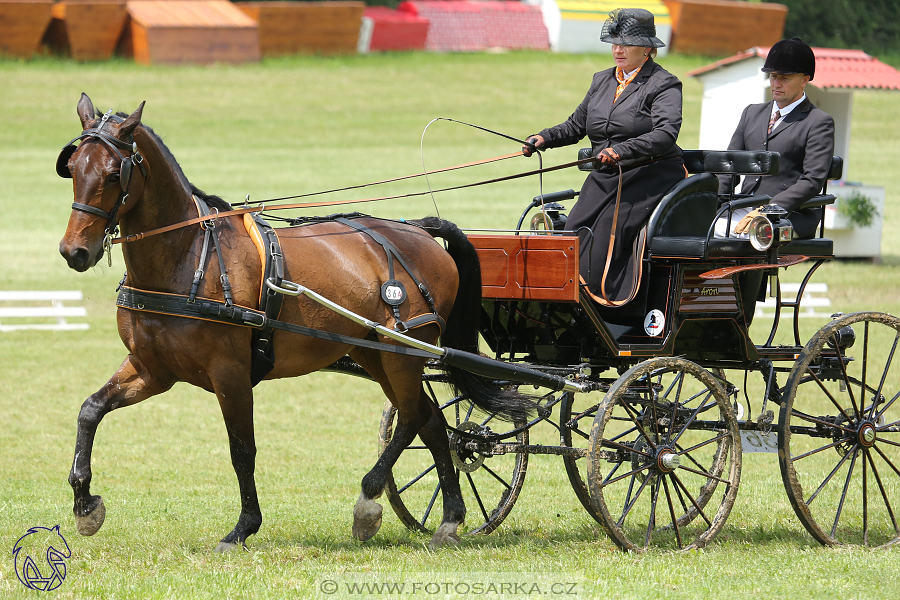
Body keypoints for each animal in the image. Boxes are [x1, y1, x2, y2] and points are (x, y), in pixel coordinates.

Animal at [56, 95, 536, 552]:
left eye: (114, 175)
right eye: (74, 169)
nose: (73, 252)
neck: (188, 257)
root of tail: (417, 230)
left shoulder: (230, 373)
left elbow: (242, 450)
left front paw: (243, 528)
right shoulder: (152, 368)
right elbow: (90, 410)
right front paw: (85, 504)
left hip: (404, 352)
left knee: (417, 416)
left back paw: (377, 502)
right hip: (377, 353)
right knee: (430, 421)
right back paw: (445, 518)